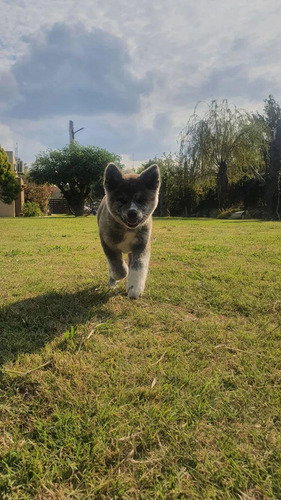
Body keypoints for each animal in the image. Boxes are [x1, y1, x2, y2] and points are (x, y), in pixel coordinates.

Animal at [97, 162, 160, 298]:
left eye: (140, 200)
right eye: (122, 200)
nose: (132, 213)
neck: (127, 229)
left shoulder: (142, 245)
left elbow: (139, 266)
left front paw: (134, 287)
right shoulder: (107, 245)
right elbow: (117, 267)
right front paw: (121, 272)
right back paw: (112, 283)